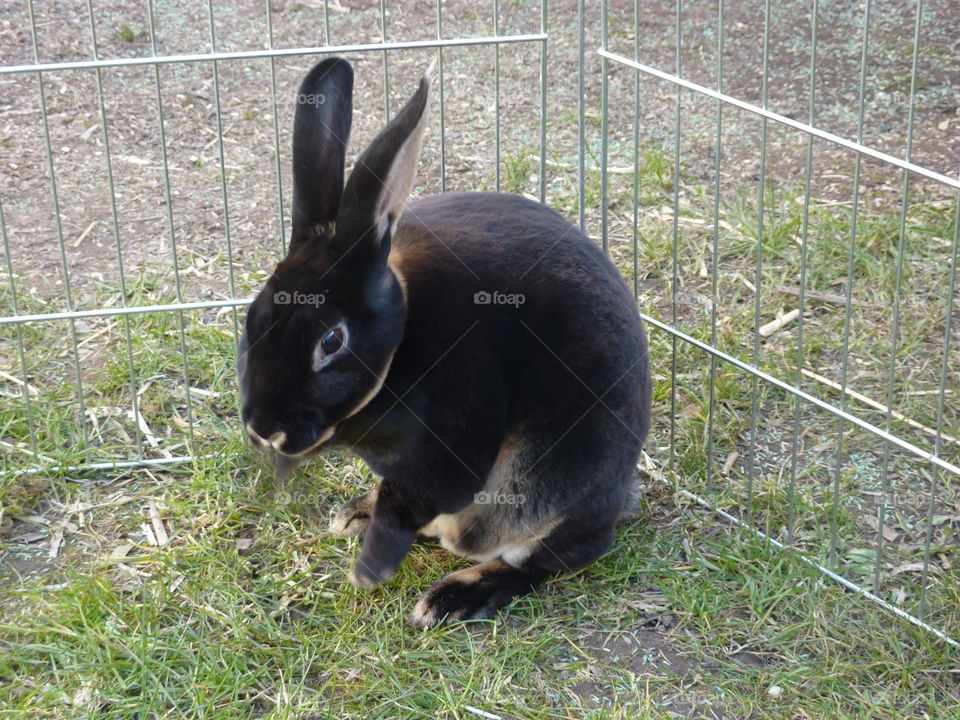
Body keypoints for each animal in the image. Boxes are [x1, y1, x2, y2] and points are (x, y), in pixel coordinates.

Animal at [238, 59, 652, 628]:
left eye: (331, 340)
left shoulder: (457, 421)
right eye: (253, 317)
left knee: (542, 560)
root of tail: (619, 498)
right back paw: (357, 514)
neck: (403, 333)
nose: (263, 429)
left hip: (538, 494)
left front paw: (370, 570)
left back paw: (452, 598)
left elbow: (409, 501)